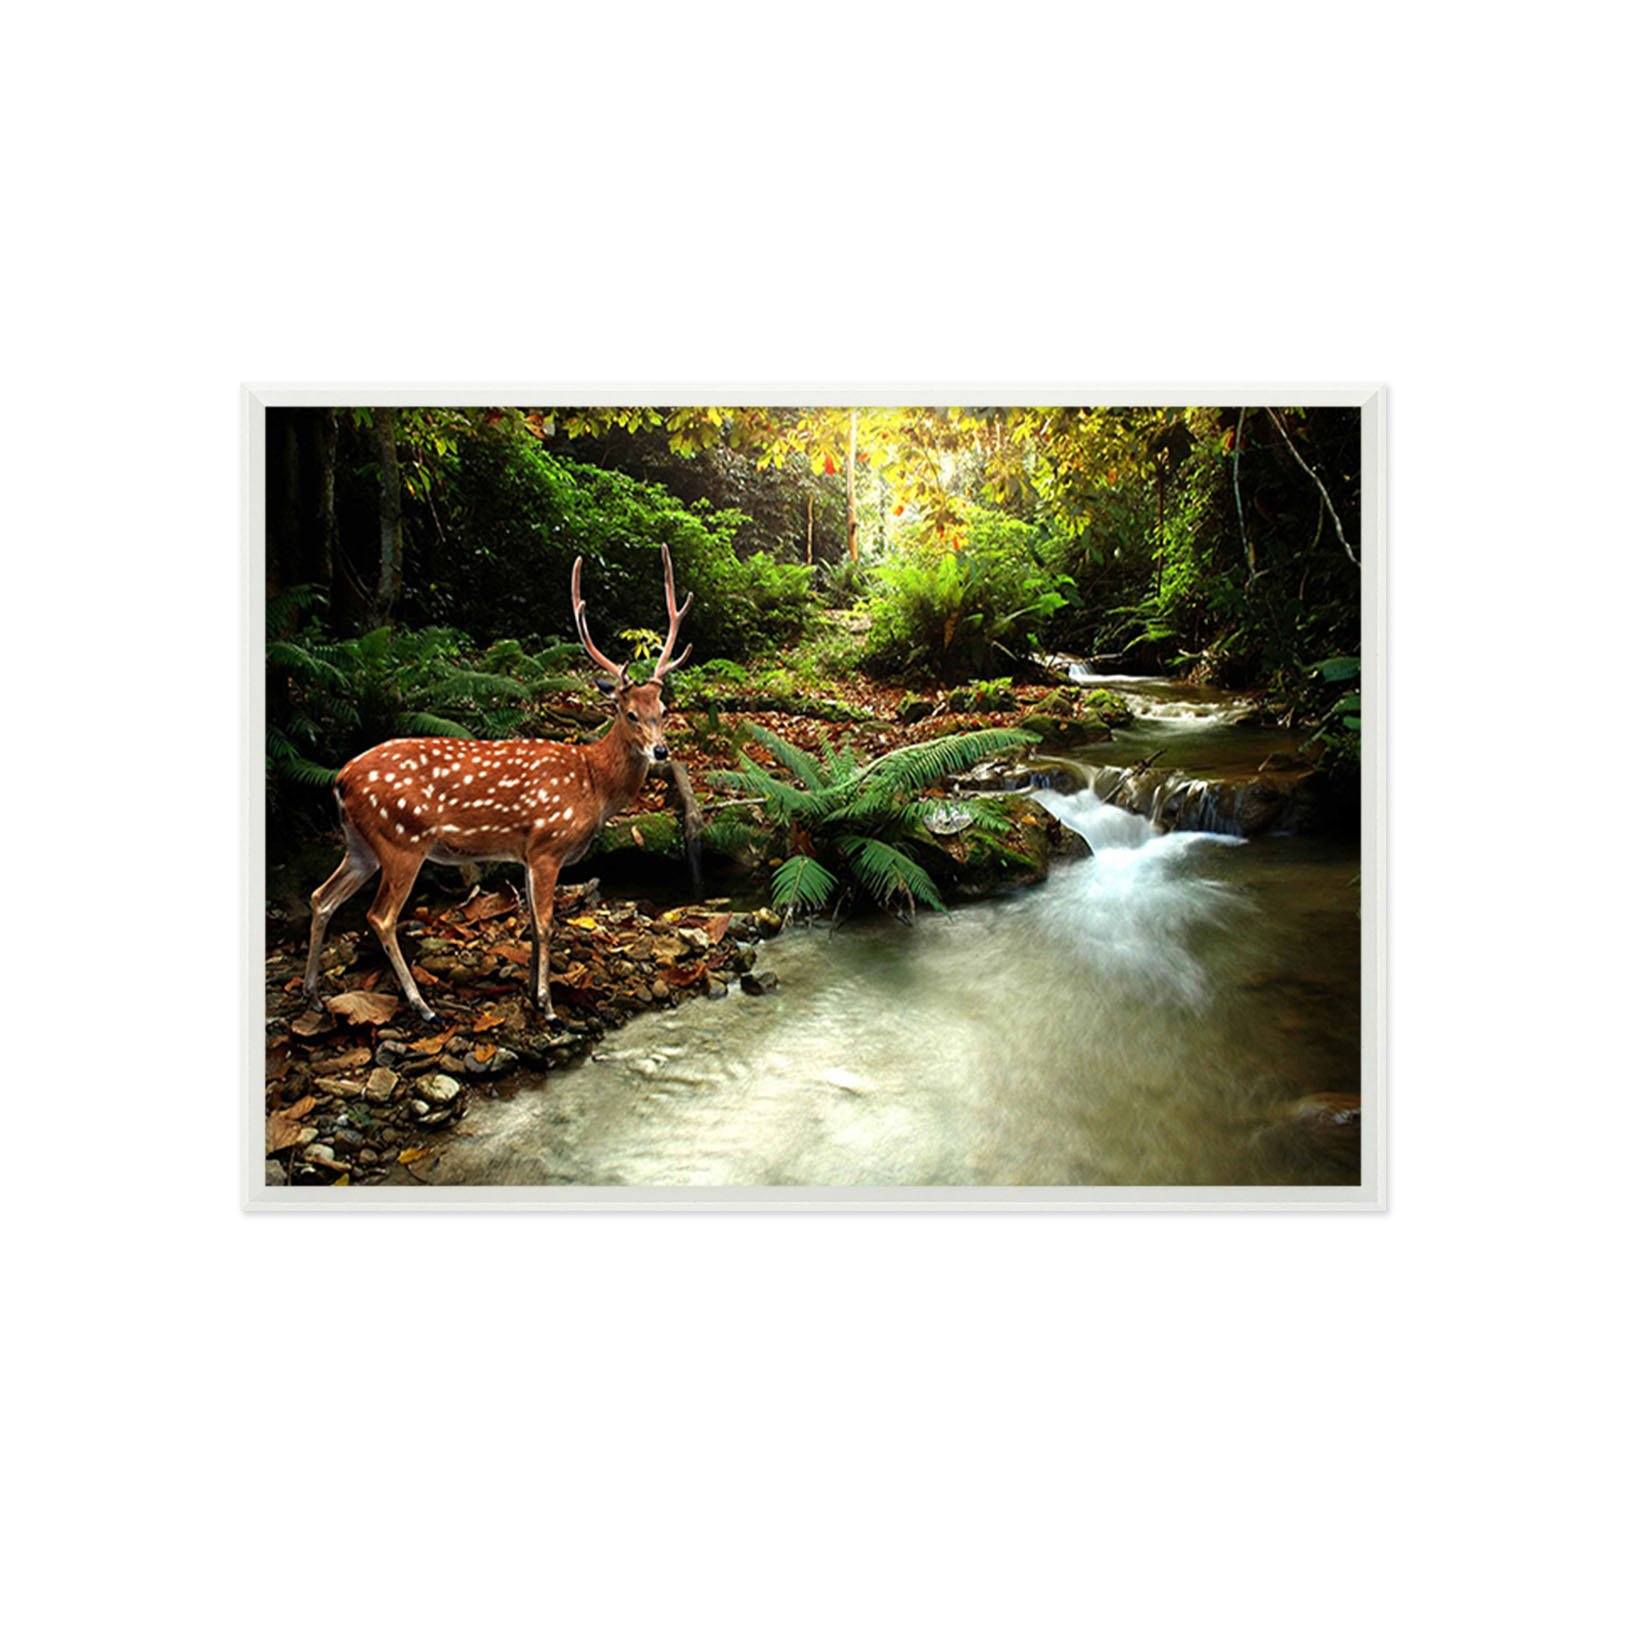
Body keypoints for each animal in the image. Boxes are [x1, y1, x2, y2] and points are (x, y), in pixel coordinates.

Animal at [301, 545, 695, 1025]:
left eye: (663, 709)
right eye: (629, 713)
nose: (660, 751)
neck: (592, 782)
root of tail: (340, 779)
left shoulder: (525, 852)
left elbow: (531, 923)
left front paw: (531, 993)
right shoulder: (548, 845)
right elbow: (545, 923)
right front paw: (548, 1006)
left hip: (361, 844)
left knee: (321, 897)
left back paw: (314, 993)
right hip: (401, 840)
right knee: (379, 917)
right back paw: (423, 1006)